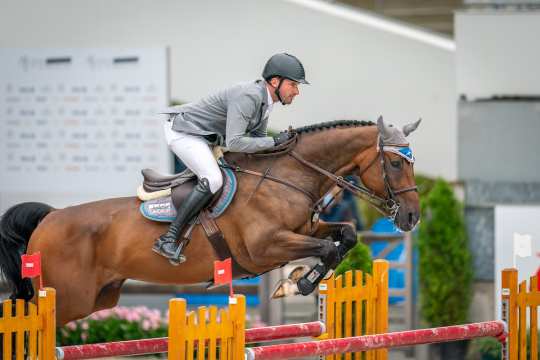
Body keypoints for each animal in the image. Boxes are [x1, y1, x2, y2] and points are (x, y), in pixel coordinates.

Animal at [0, 116, 422, 324]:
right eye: (396, 164)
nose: (413, 217)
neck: (286, 175)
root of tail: (51, 218)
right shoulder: (266, 246)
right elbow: (325, 248)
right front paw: (299, 283)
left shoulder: (303, 229)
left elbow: (345, 236)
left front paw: (300, 281)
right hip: (68, 297)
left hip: (96, 298)